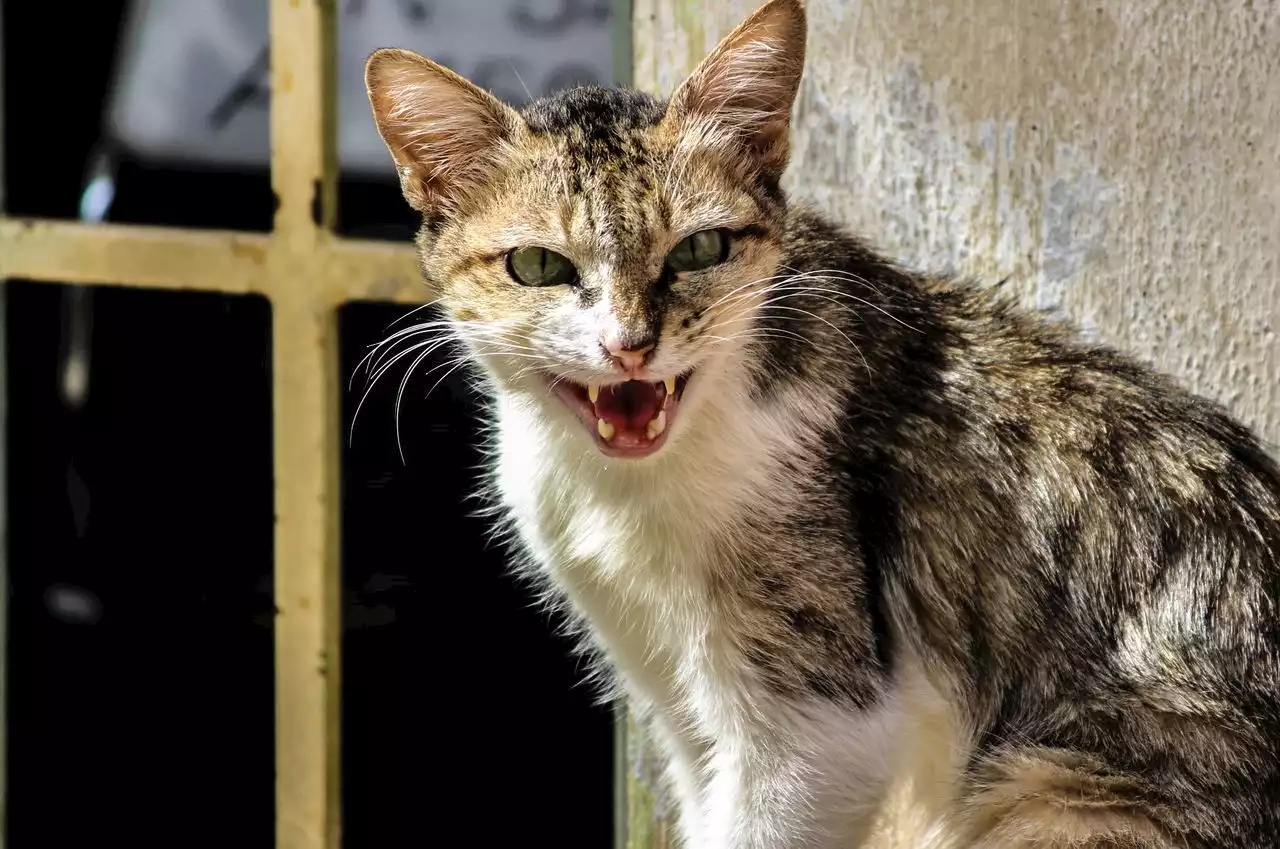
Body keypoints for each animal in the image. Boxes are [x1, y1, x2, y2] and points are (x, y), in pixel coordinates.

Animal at [363, 3, 1280, 845]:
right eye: (538, 265)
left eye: (697, 251)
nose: (630, 345)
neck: (622, 489)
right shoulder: (671, 699)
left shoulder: (816, 729)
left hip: (1057, 793)